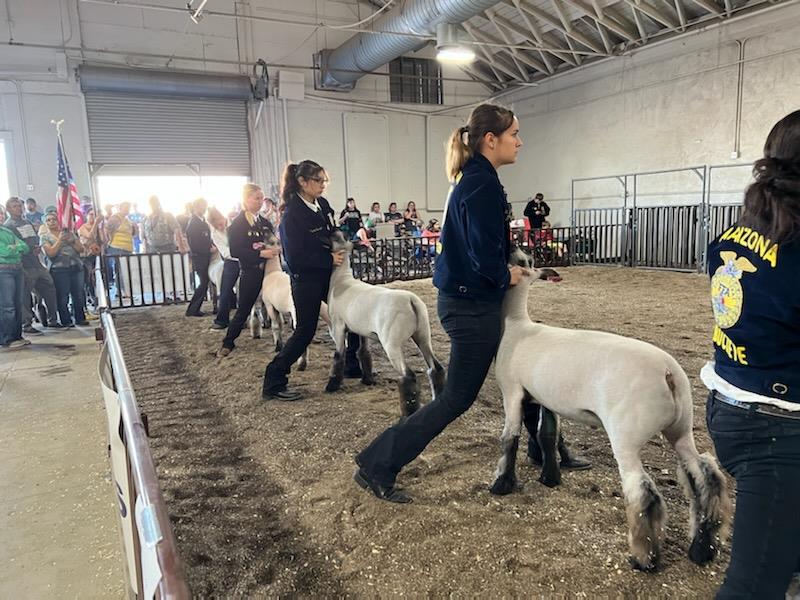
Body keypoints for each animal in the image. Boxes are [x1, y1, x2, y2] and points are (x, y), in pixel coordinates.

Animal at [488, 248, 732, 572]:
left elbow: (509, 439)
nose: (513, 248)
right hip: (681, 428)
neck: (517, 325)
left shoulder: (512, 391)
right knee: (705, 476)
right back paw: (703, 547)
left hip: (626, 433)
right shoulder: (546, 398)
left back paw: (644, 558)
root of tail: (668, 374)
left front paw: (502, 484)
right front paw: (550, 477)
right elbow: (547, 434)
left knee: (643, 491)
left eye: (524, 261)